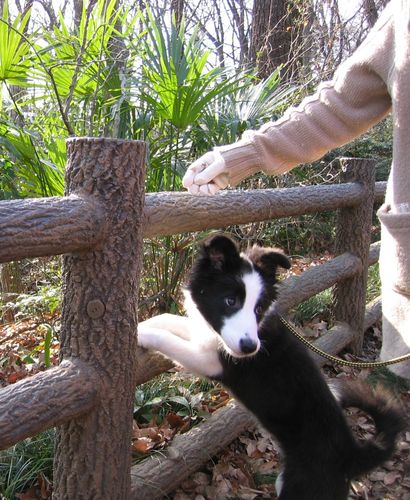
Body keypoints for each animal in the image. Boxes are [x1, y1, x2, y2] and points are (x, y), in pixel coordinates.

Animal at [137, 234, 404, 500]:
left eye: (257, 308)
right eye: (230, 301)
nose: (249, 348)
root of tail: (352, 456)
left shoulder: (213, 362)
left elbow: (169, 340)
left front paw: (141, 334)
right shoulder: (207, 335)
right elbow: (168, 319)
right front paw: (143, 322)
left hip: (303, 487)